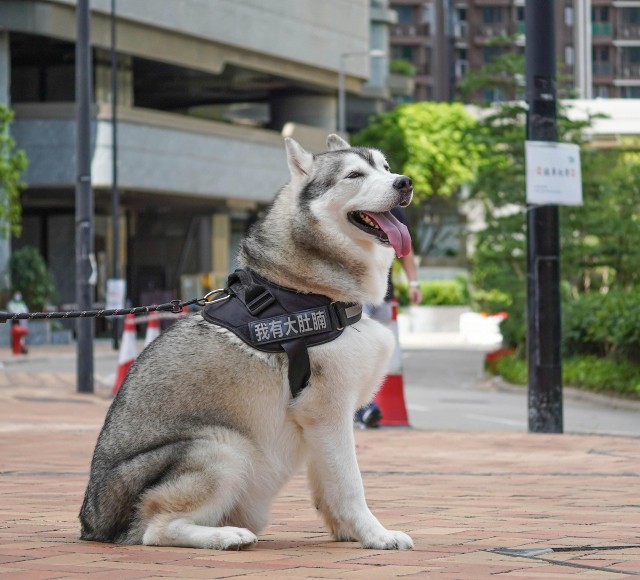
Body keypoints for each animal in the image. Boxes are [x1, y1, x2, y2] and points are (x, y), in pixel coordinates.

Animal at [79, 134, 416, 552]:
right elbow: (351, 484)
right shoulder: (328, 411)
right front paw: (376, 534)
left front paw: (348, 531)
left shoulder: (319, 424)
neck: (307, 291)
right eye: (355, 175)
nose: (405, 182)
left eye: (385, 168)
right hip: (225, 447)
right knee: (155, 529)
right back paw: (226, 536)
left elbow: (330, 488)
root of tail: (92, 522)